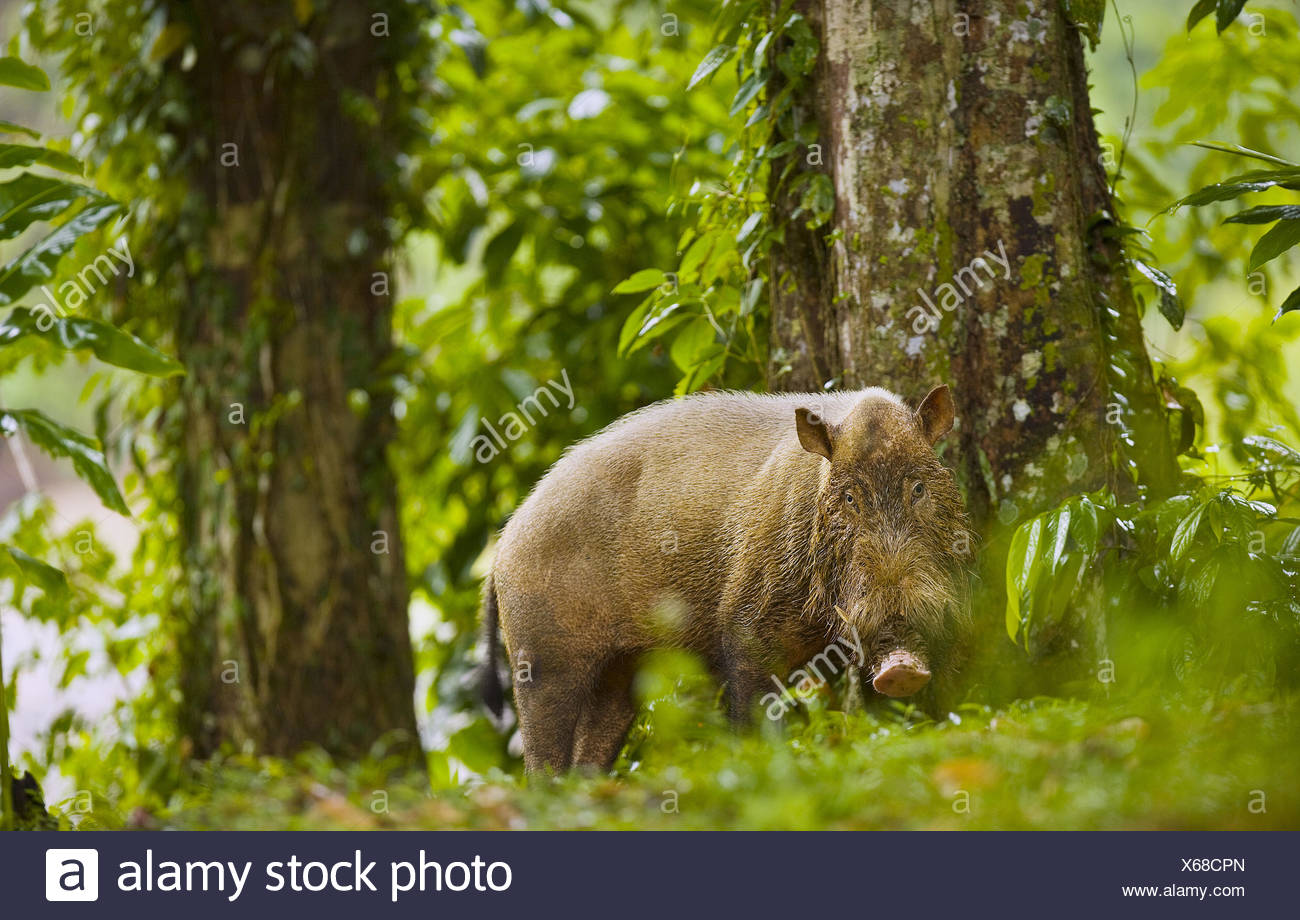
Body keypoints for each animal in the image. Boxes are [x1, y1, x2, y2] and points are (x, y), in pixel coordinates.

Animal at [478, 384, 972, 773]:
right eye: (850, 497)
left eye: (919, 489)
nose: (901, 668)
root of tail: (501, 548)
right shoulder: (745, 623)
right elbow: (752, 710)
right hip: (539, 658)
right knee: (540, 757)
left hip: (620, 673)